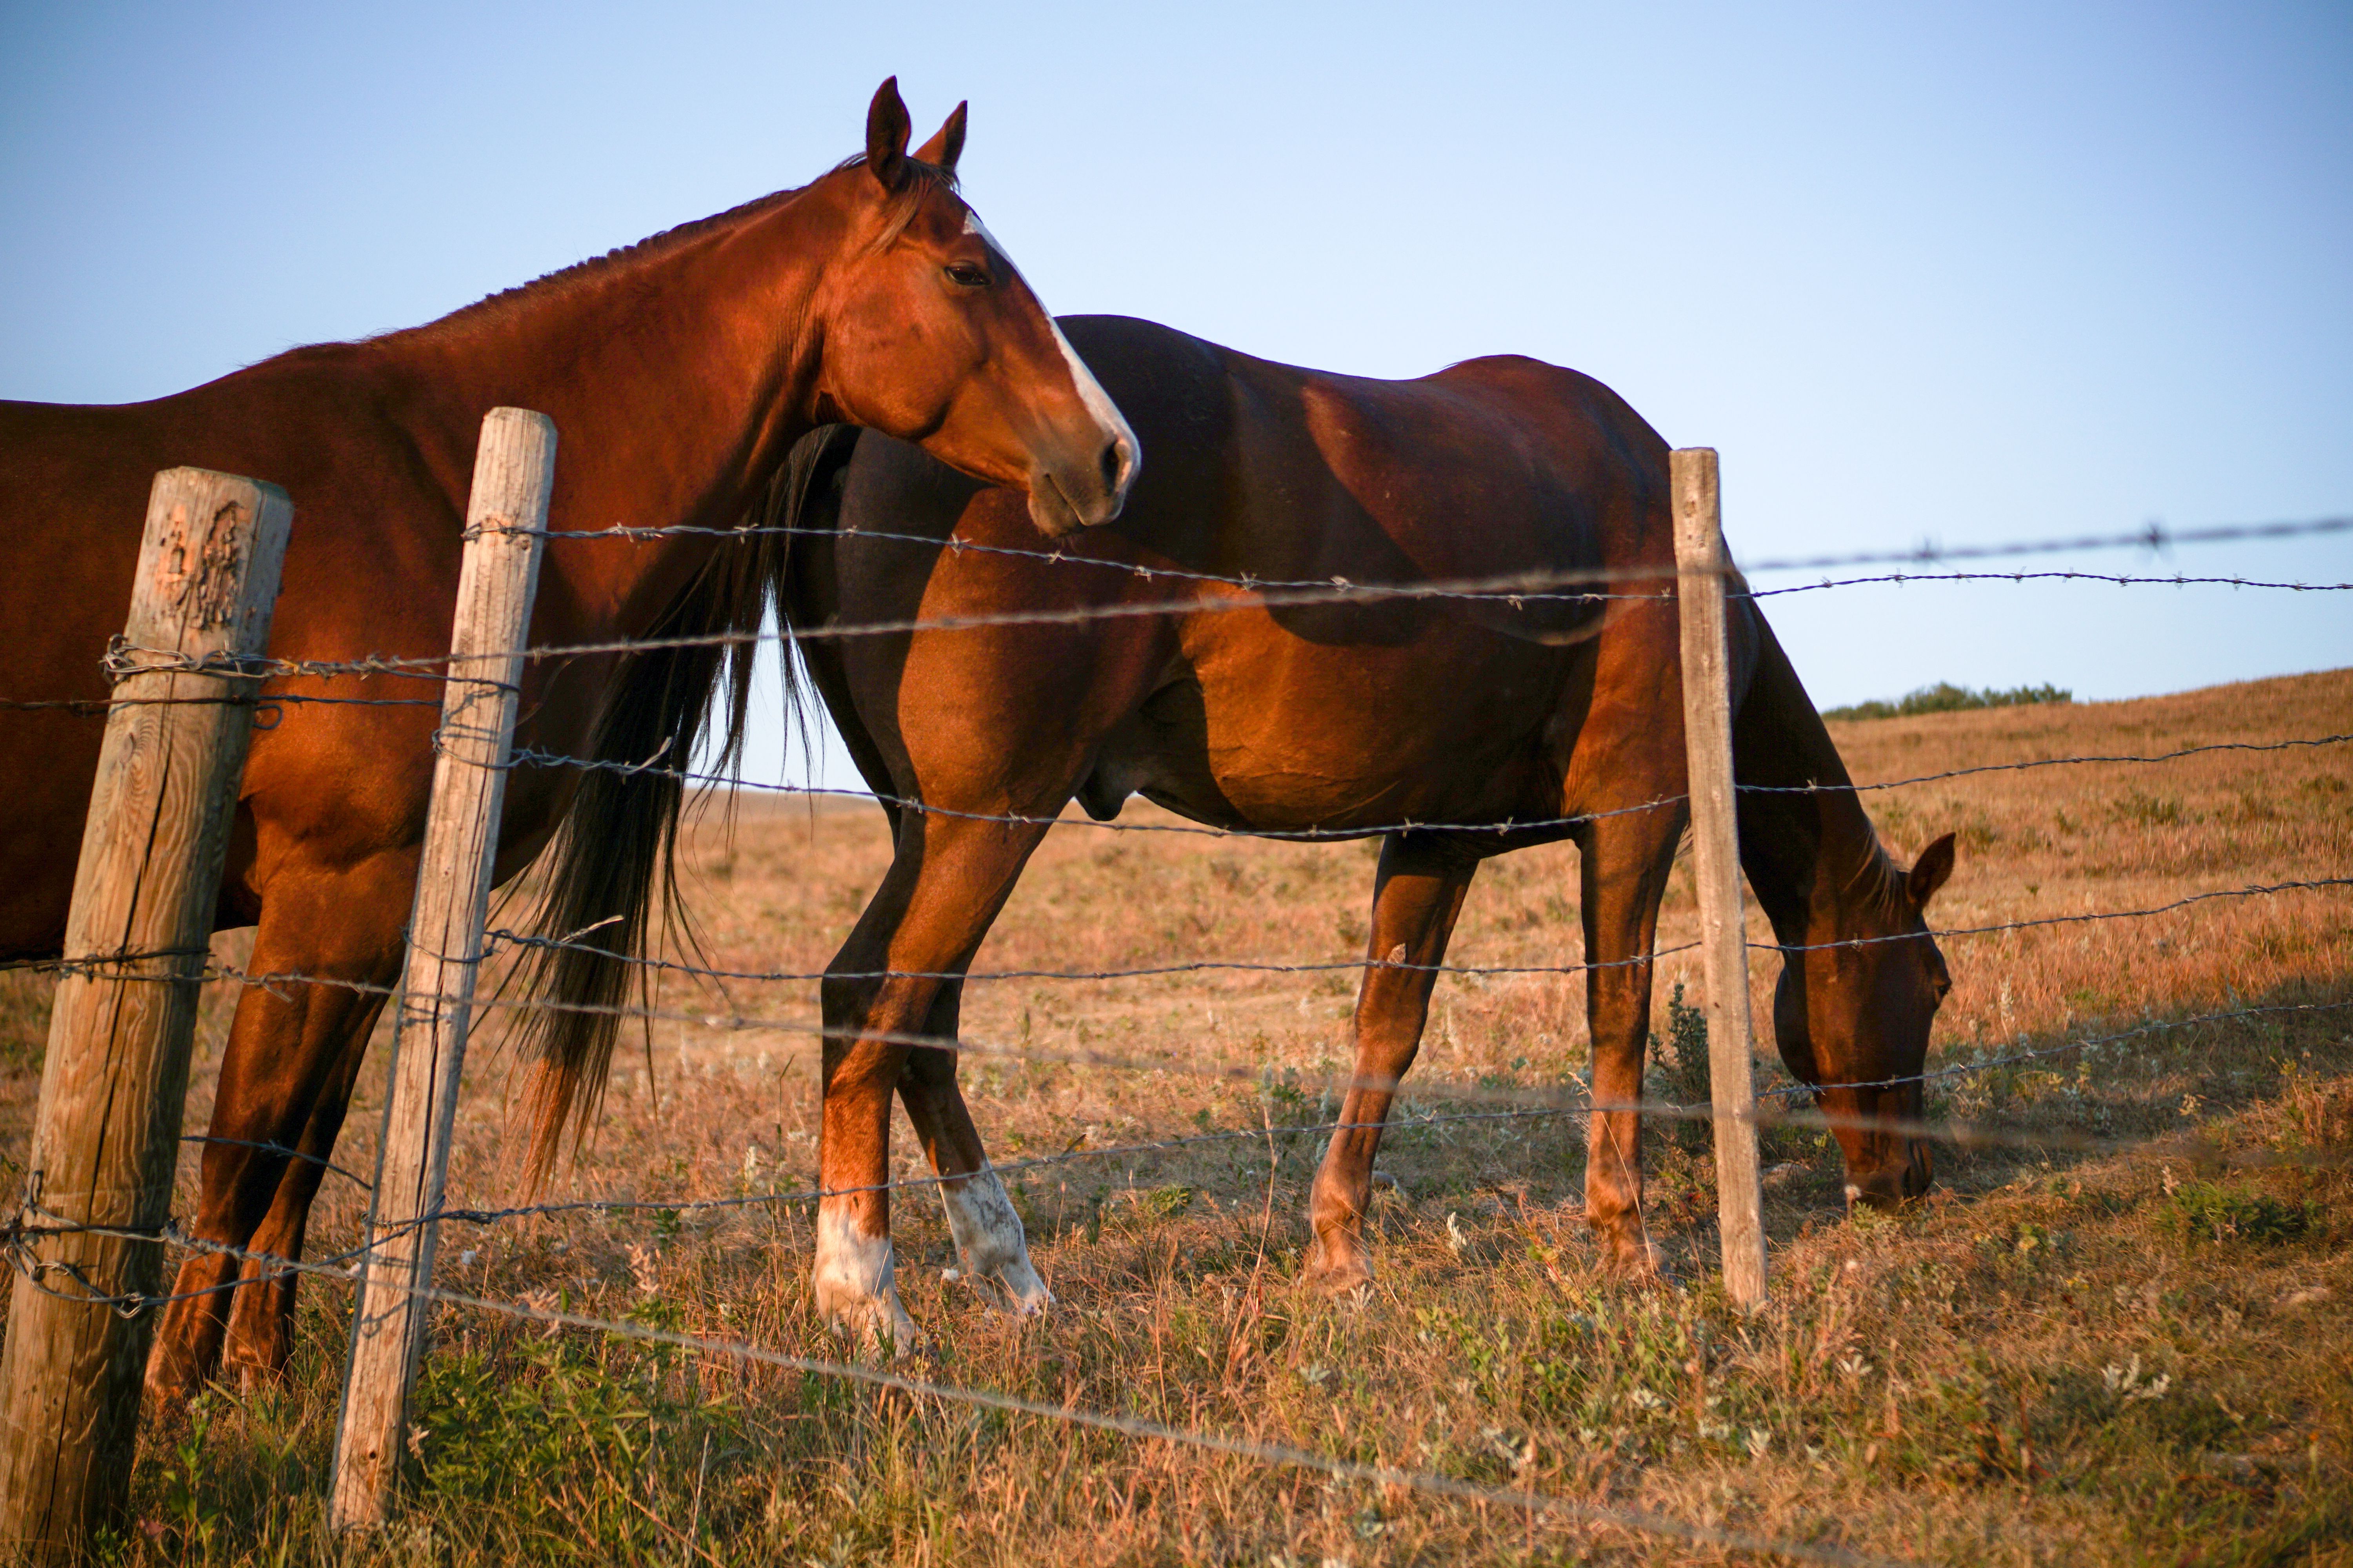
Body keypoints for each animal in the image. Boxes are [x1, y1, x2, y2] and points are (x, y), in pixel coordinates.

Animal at [0, 79, 1139, 1394]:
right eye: (965, 271)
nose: (1115, 455)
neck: (434, 494)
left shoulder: (372, 910)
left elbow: (299, 1154)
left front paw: (257, 1383)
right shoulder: (326, 895)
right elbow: (245, 1152)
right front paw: (181, 1402)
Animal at [725, 315, 1958, 1328]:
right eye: (1937, 985)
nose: (1912, 1185)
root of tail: (865, 434)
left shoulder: (1436, 837)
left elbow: (1386, 1033)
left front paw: (1339, 1249)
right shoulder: (1635, 818)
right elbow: (1618, 1017)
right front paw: (1625, 1240)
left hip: (928, 830)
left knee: (901, 1013)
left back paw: (1008, 1273)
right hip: (987, 821)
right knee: (883, 1009)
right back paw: (865, 1290)